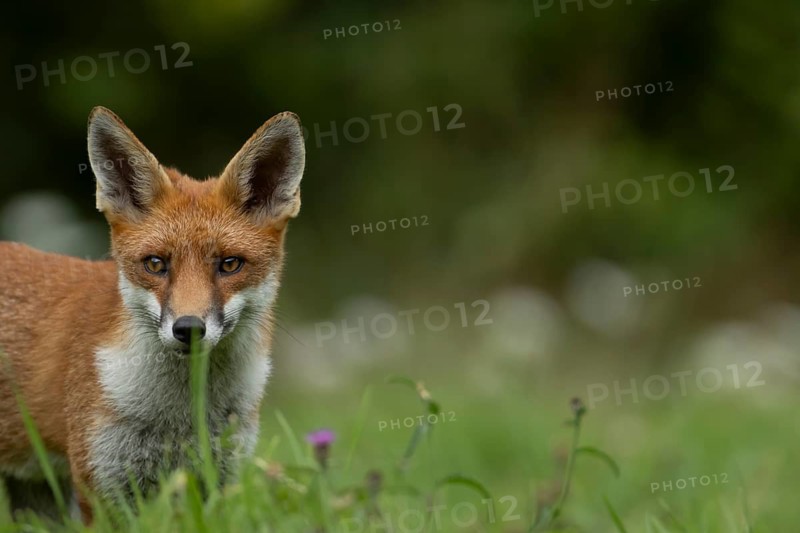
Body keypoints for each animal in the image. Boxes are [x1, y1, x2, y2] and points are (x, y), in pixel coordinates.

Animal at [0, 106, 306, 522]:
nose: (188, 328)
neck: (180, 419)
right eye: (156, 264)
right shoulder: (101, 482)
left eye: (229, 264)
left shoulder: (216, 479)